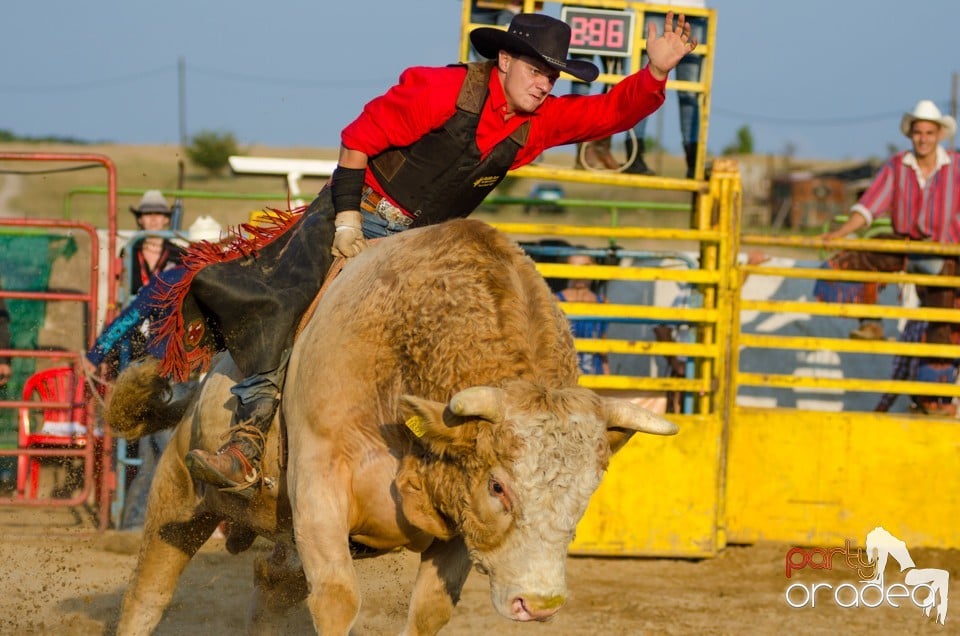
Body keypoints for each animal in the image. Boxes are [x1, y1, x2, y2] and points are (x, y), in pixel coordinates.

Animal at [109, 217, 680, 632]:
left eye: (587, 492)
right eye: (499, 486)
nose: (538, 603)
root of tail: (206, 379)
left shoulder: (456, 514)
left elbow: (429, 611)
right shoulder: (319, 487)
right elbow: (337, 599)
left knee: (270, 583)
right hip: (181, 492)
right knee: (150, 590)